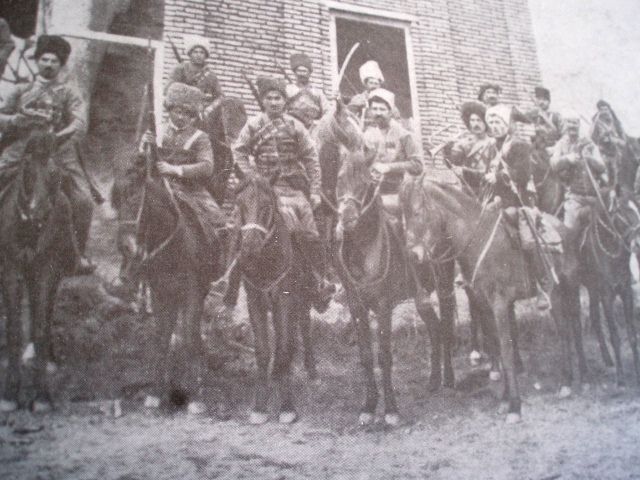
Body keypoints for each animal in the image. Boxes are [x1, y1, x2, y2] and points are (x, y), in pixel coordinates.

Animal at [0, 131, 78, 412]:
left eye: (54, 171)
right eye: (27, 167)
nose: (38, 212)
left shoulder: (45, 270)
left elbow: (41, 328)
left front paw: (42, 395)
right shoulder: (10, 269)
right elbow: (13, 328)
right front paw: (10, 394)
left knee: (45, 312)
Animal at [111, 158, 226, 412]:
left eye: (136, 198)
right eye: (116, 202)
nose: (126, 247)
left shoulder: (192, 292)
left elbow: (190, 338)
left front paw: (195, 395)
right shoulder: (160, 292)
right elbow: (162, 338)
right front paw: (156, 394)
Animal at [232, 169, 318, 424]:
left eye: (267, 206)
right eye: (239, 205)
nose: (249, 249)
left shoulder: (285, 300)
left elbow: (283, 347)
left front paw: (287, 406)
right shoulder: (255, 301)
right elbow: (263, 350)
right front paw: (260, 406)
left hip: (303, 298)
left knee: (304, 328)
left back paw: (311, 370)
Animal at [410, 180, 584, 424]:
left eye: (417, 212)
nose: (413, 255)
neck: (478, 240)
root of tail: (564, 228)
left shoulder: (500, 305)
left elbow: (506, 351)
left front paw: (515, 407)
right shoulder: (485, 307)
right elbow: (497, 349)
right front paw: (504, 400)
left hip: (567, 288)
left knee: (569, 329)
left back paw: (573, 380)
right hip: (559, 294)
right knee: (567, 329)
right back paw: (572, 378)